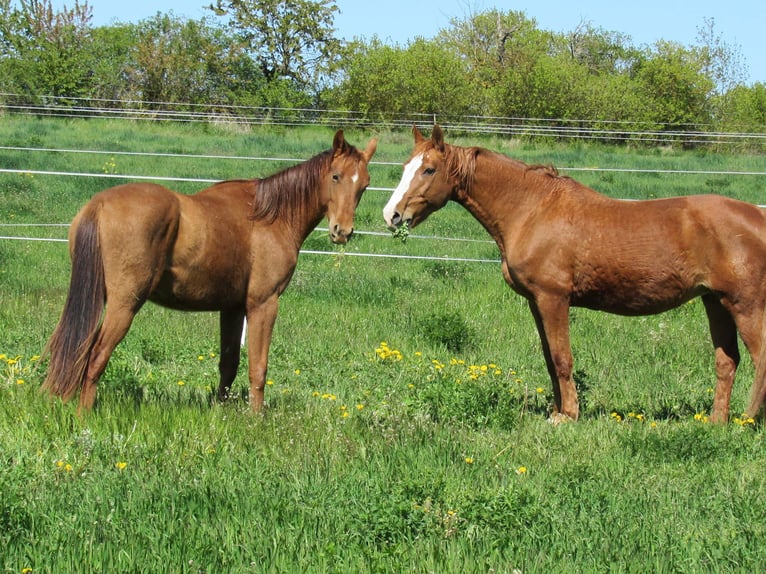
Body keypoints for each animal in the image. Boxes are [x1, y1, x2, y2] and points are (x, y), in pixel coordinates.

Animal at [43, 130, 377, 413]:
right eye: (335, 177)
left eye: (364, 184)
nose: (342, 231)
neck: (270, 216)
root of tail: (99, 204)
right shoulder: (263, 304)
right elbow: (258, 367)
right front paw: (256, 419)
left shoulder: (232, 308)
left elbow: (228, 365)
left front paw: (221, 411)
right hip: (124, 305)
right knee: (96, 355)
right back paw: (84, 416)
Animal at [383, 124, 766, 423]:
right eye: (404, 167)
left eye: (429, 170)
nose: (392, 215)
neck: (532, 210)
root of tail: (758, 217)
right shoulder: (536, 302)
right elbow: (549, 358)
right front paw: (557, 410)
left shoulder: (553, 298)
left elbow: (562, 357)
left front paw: (568, 415)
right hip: (716, 302)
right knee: (727, 361)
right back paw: (716, 422)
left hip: (744, 305)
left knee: (759, 359)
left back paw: (746, 421)